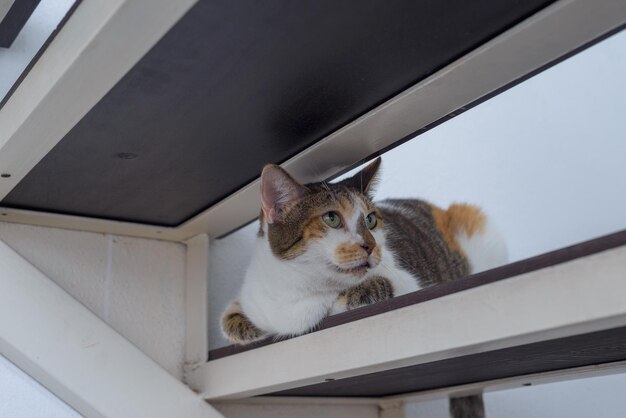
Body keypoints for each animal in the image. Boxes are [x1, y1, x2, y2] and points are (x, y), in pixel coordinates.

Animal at [222, 157, 504, 418]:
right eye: (331, 218)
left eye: (370, 220)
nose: (371, 245)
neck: (297, 293)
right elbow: (229, 319)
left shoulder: (406, 280)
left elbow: (375, 286)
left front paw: (348, 296)